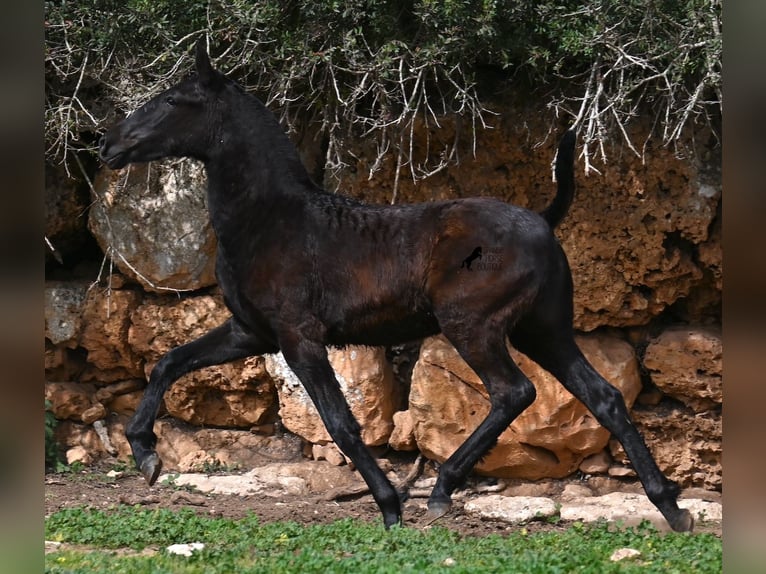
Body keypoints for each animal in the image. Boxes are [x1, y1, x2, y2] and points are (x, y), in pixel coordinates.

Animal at [99, 41, 692, 536]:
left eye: (173, 99)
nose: (109, 145)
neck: (271, 219)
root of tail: (544, 222)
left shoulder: (298, 337)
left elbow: (341, 423)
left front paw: (389, 505)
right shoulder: (250, 331)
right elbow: (168, 362)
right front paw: (145, 454)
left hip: (474, 327)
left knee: (514, 392)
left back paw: (443, 489)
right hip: (543, 330)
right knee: (604, 396)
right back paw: (671, 506)